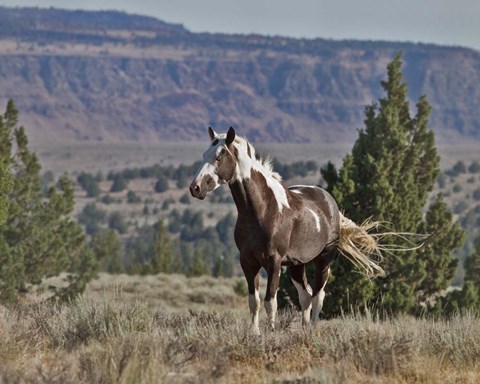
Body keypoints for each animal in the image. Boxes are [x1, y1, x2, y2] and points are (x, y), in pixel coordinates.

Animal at [189, 127, 384, 334]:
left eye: (219, 156)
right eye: (204, 154)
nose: (195, 188)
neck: (263, 210)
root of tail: (330, 202)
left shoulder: (274, 262)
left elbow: (270, 302)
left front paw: (272, 332)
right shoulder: (248, 262)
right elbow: (254, 301)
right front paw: (255, 333)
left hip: (323, 260)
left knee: (318, 296)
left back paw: (312, 329)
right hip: (297, 264)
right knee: (306, 296)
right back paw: (305, 329)